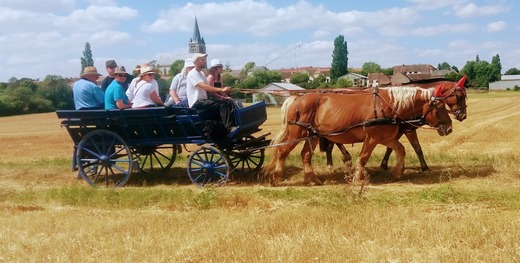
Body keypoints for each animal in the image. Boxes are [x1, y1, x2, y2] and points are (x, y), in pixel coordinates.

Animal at [264, 85, 450, 187]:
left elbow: (401, 149)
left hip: (313, 134)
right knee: (283, 152)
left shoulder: (386, 137)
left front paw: (398, 172)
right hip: (298, 132)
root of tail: (296, 98)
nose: (449, 128)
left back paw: (313, 178)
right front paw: (357, 178)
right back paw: (276, 178)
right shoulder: (372, 138)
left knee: (306, 154)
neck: (389, 104)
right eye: (440, 106)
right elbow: (363, 157)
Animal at [320, 75, 468, 172]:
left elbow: (391, 147)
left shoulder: (398, 129)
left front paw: (385, 164)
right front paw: (424, 167)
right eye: (459, 96)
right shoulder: (408, 129)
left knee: (333, 142)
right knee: (333, 142)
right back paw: (336, 162)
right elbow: (416, 148)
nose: (463, 116)